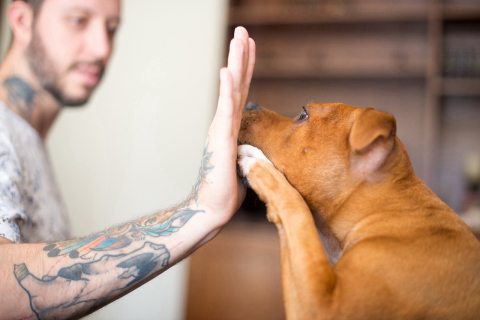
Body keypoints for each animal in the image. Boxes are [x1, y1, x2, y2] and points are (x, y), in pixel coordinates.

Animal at [236, 102, 480, 320]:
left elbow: (296, 208)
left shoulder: (324, 306)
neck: (386, 211)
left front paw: (257, 162)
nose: (249, 103)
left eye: (303, 114)